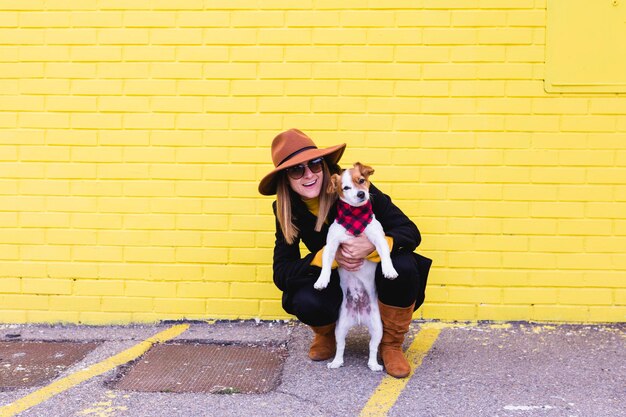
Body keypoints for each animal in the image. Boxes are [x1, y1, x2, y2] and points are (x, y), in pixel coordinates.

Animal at [310, 161, 394, 368]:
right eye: (346, 188)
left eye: (361, 180)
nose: (361, 194)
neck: (355, 218)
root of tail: (358, 318)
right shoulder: (332, 244)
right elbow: (326, 264)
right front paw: (322, 281)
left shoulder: (378, 239)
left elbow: (385, 254)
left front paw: (389, 270)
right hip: (340, 328)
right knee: (341, 346)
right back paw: (336, 362)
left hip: (377, 328)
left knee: (373, 347)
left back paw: (374, 365)